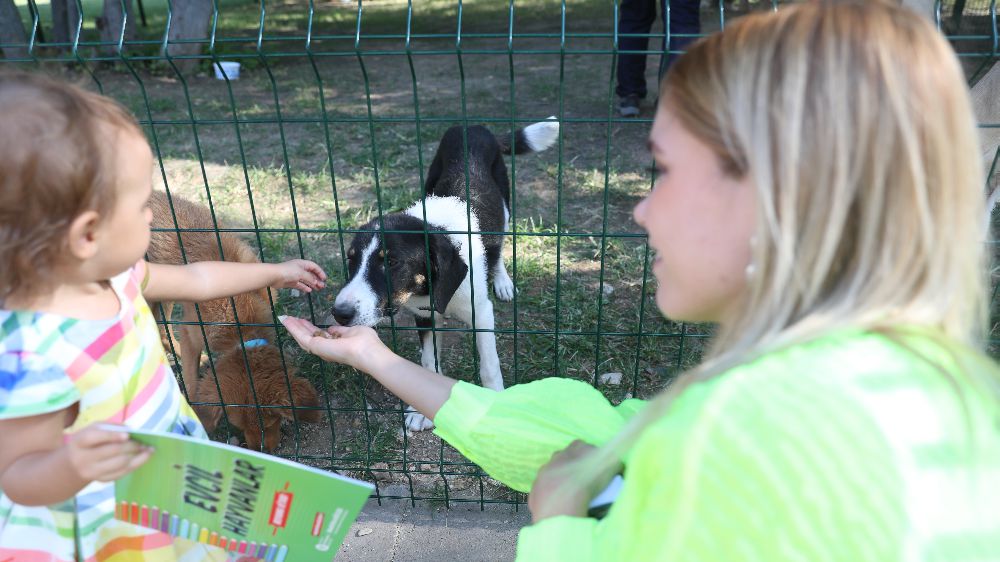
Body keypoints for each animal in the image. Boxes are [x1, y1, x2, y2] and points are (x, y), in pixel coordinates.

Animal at [146, 191, 320, 450]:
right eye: (238, 426)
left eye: (272, 422)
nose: (262, 451)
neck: (240, 319)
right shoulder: (191, 333)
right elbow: (191, 382)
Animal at [332, 116, 560, 426]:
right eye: (351, 260)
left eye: (391, 262)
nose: (340, 313)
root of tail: (473, 126)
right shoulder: (424, 317)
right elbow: (429, 362)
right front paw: (420, 411)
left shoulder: (482, 313)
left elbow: (490, 366)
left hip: (504, 204)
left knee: (500, 245)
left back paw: (502, 281)